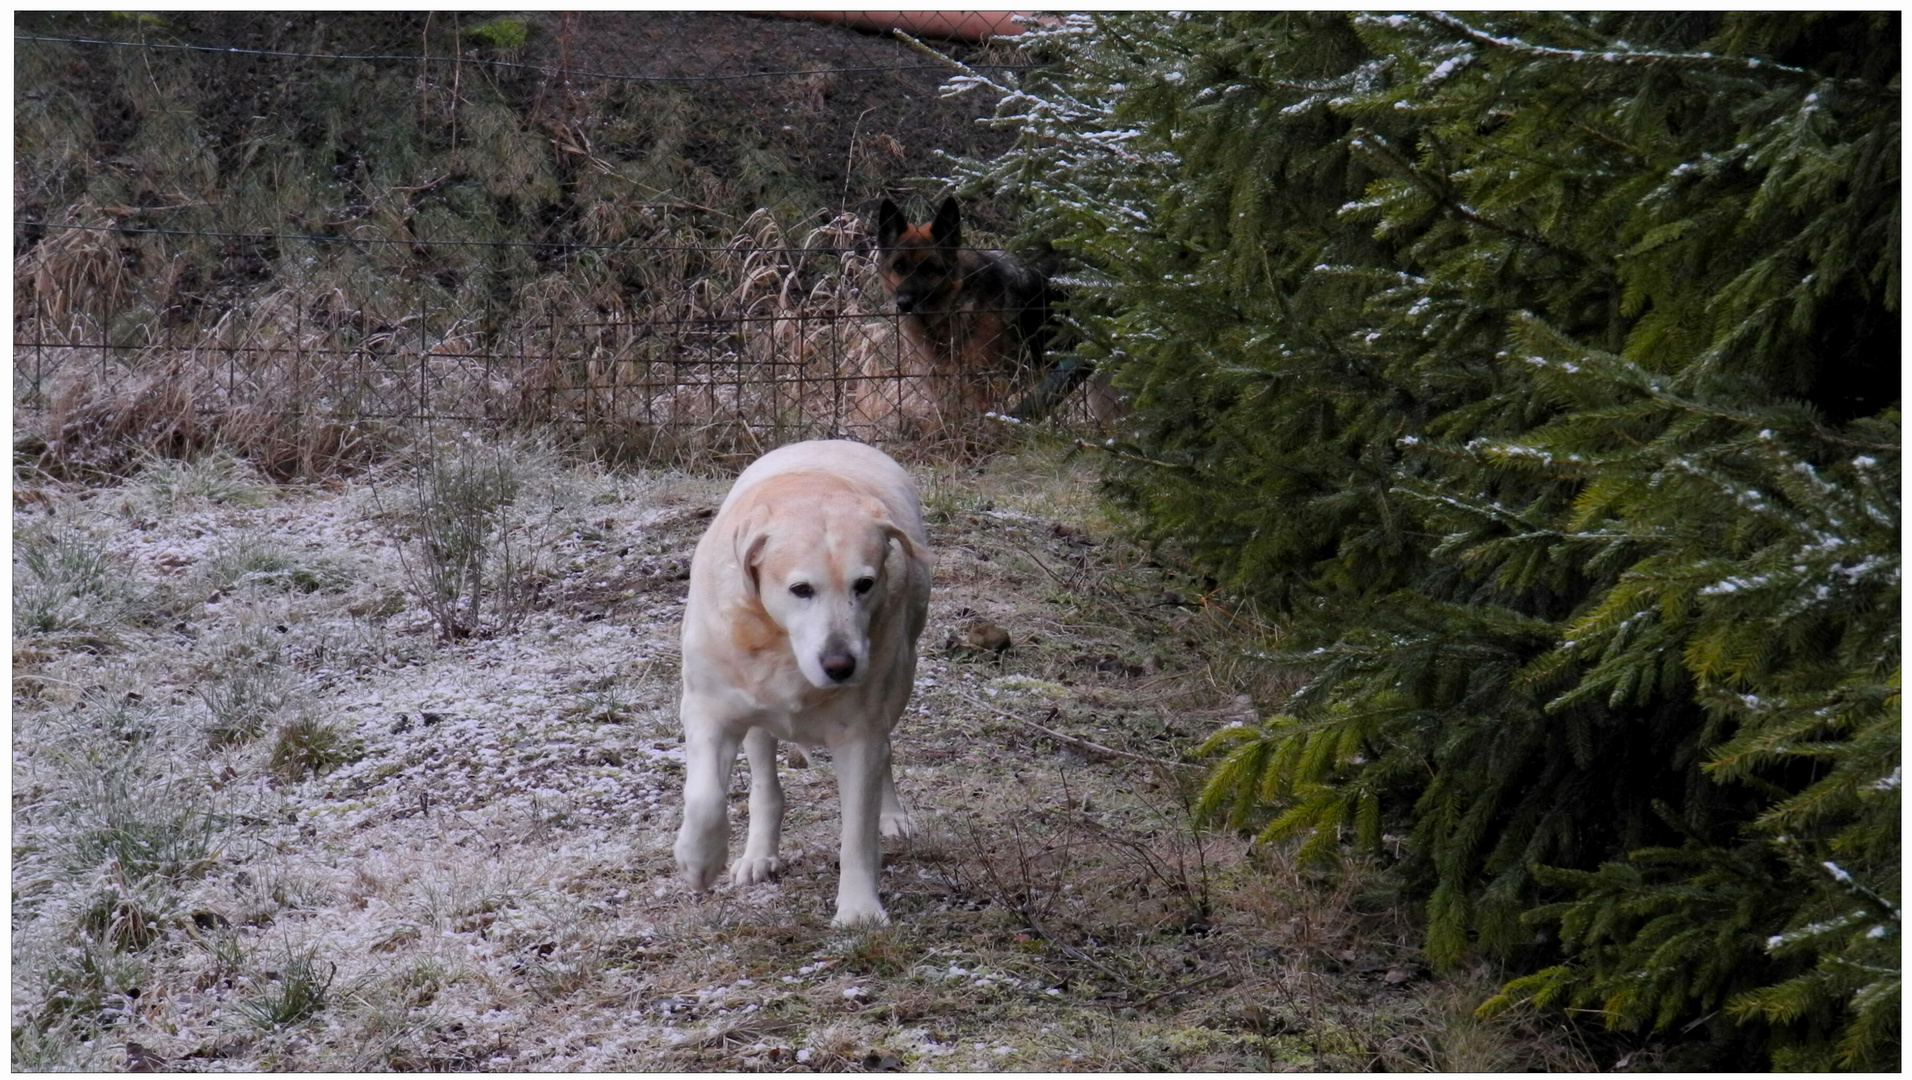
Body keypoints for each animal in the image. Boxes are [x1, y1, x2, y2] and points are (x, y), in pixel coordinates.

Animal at [676, 439, 929, 925]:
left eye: (864, 584)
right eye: (801, 590)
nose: (840, 666)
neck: (782, 646)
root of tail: (830, 440)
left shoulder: (860, 731)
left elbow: (857, 829)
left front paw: (859, 910)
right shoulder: (708, 707)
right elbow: (705, 797)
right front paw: (700, 860)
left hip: (900, 680)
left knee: (886, 751)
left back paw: (891, 814)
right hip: (756, 718)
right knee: (764, 781)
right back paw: (758, 855)